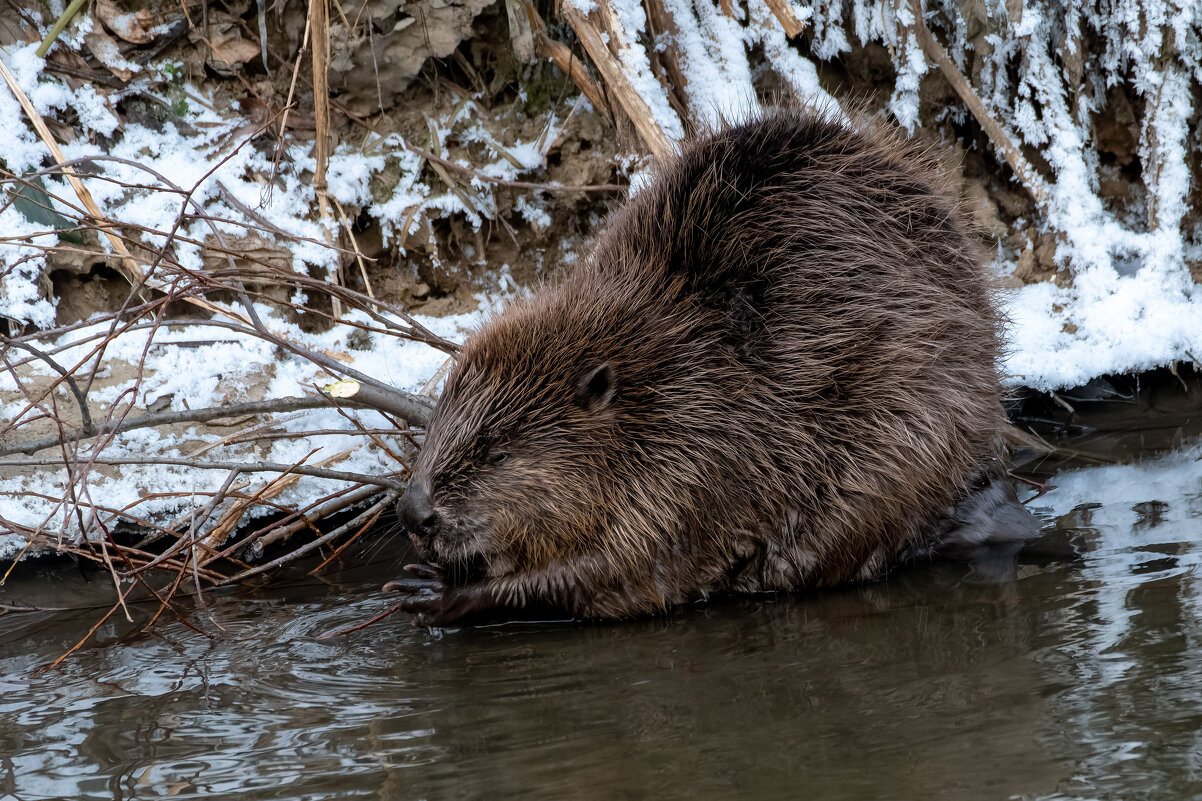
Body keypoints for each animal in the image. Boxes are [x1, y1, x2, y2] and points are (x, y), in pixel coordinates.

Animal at [387, 104, 1033, 625]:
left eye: (498, 452)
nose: (414, 513)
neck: (664, 360)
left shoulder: (694, 461)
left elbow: (618, 569)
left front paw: (438, 593)